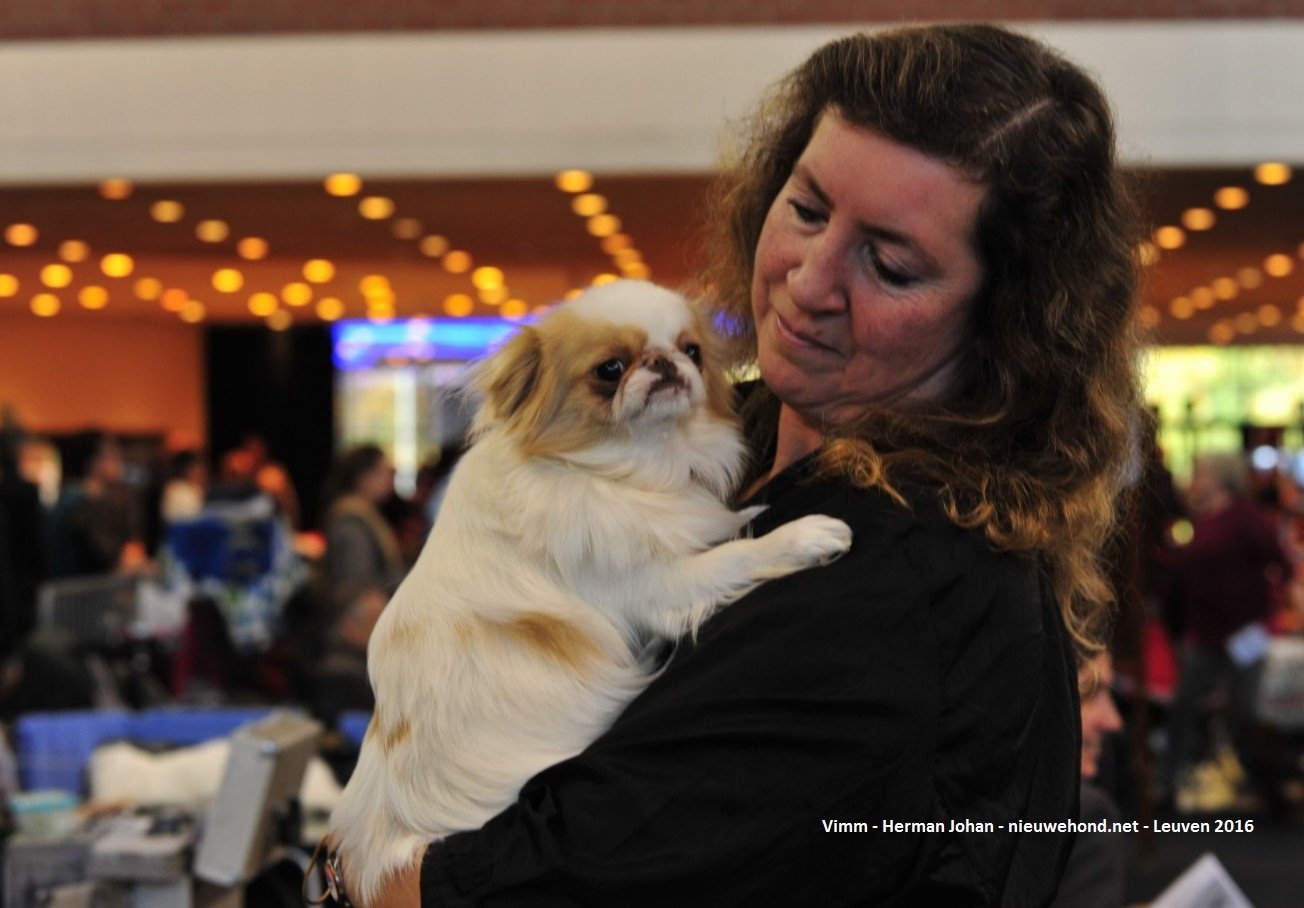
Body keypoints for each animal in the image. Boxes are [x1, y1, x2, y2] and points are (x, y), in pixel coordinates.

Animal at [326, 277, 850, 902]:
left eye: (692, 351)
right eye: (610, 369)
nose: (664, 363)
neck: (624, 469)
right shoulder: (660, 586)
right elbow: (739, 553)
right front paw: (810, 534)